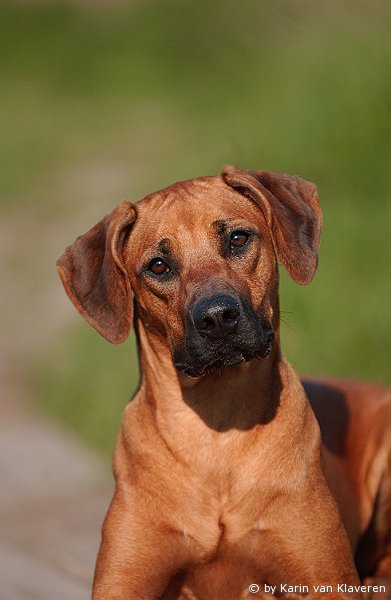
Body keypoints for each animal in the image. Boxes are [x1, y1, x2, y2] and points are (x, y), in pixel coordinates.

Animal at [56, 168, 390, 600]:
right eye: (158, 265)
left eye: (237, 239)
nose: (216, 317)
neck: (216, 432)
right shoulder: (122, 579)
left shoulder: (324, 576)